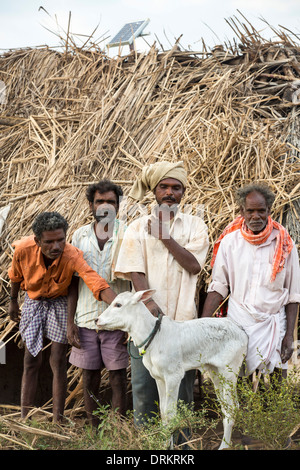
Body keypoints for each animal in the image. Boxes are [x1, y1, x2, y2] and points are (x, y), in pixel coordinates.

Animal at [96, 288, 248, 450]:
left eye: (118, 304)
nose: (96, 320)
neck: (154, 338)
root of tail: (240, 329)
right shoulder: (158, 378)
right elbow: (163, 412)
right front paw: (163, 443)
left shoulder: (173, 376)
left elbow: (170, 413)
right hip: (215, 372)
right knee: (226, 406)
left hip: (229, 373)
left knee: (231, 408)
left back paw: (224, 445)